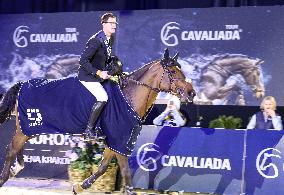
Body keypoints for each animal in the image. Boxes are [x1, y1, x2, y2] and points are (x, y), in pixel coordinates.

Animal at [0, 48, 194, 195]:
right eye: (173, 72)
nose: (191, 93)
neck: (129, 96)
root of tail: (23, 84)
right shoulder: (120, 142)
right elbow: (126, 174)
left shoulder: (115, 142)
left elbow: (102, 167)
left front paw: (79, 187)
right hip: (27, 127)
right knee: (11, 149)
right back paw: (3, 178)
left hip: (27, 128)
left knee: (17, 149)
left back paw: (14, 170)